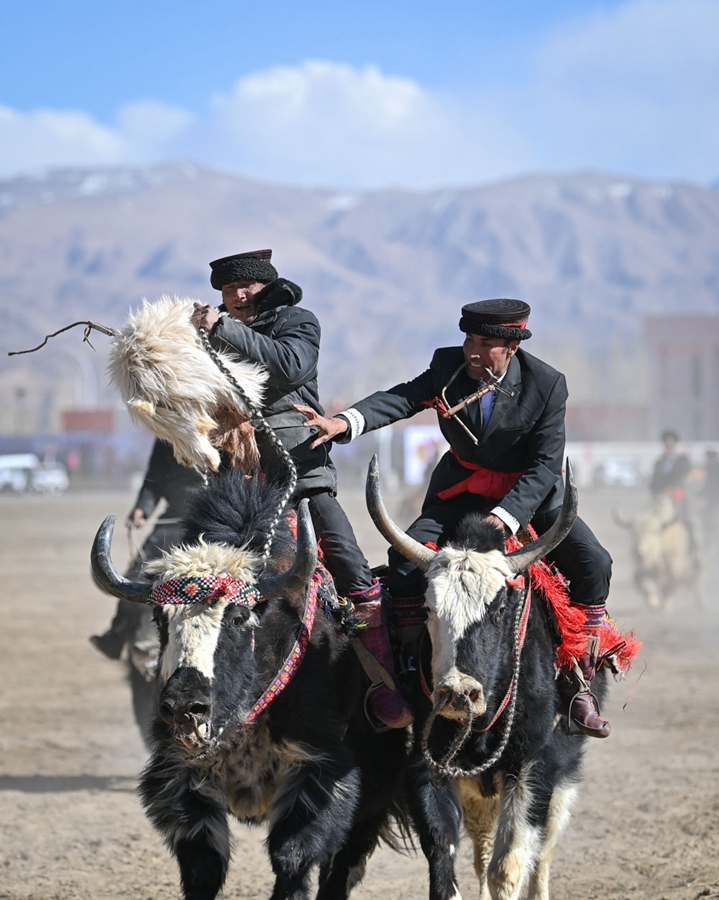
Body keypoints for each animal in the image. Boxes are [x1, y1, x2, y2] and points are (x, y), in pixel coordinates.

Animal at [91, 471, 407, 900]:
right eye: (160, 618)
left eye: (238, 617)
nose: (185, 707)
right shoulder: (178, 773)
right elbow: (204, 863)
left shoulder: (322, 768)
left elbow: (292, 855)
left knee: (346, 860)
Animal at [366, 457, 606, 900]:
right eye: (427, 609)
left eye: (498, 610)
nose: (458, 693)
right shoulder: (427, 766)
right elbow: (445, 859)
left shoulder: (534, 764)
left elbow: (508, 866)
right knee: (481, 844)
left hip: (564, 767)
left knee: (543, 852)